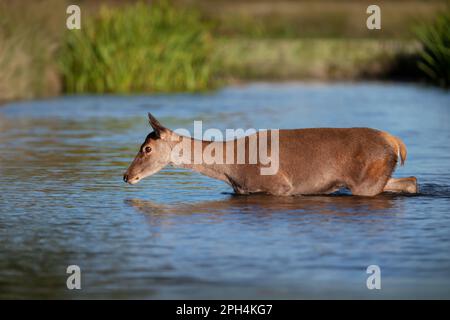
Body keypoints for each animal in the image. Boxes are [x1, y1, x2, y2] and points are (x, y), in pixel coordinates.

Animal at [123, 114, 418, 196]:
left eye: (147, 148)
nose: (126, 175)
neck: (228, 168)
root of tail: (395, 141)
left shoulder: (279, 186)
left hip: (365, 183)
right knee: (411, 181)